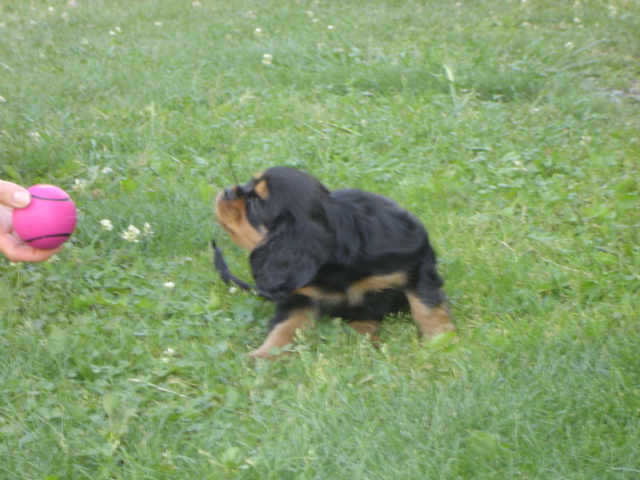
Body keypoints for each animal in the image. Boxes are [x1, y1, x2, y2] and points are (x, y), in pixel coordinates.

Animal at [215, 166, 454, 358]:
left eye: (254, 203)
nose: (227, 191)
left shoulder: (416, 261)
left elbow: (425, 306)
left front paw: (441, 340)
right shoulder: (301, 294)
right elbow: (285, 325)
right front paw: (264, 354)